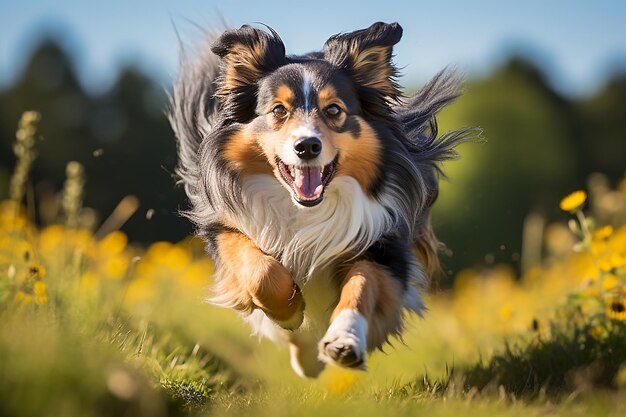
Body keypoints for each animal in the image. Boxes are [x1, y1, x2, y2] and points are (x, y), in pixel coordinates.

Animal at [168, 21, 470, 376]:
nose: (307, 146)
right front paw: (289, 312)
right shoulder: (226, 227)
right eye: (278, 111)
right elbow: (263, 273)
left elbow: (361, 286)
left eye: (334, 110)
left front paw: (344, 341)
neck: (306, 210)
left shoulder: (383, 240)